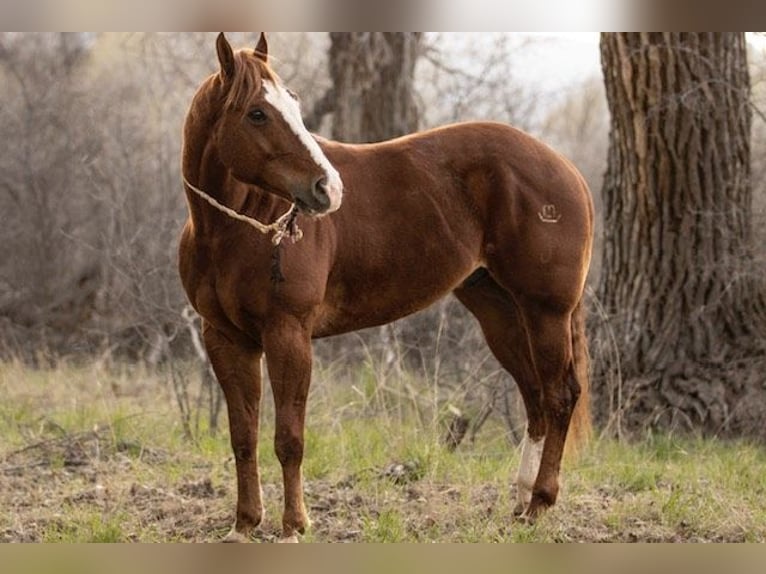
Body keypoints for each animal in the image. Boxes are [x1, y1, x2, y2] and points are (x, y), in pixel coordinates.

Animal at [178, 32, 592, 544]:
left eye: (292, 102)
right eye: (257, 112)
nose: (329, 188)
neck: (236, 230)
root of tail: (566, 169)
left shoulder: (288, 335)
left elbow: (289, 438)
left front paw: (294, 527)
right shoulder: (226, 339)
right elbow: (243, 436)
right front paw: (244, 525)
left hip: (545, 311)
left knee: (559, 396)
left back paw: (540, 502)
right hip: (499, 310)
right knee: (535, 397)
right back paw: (520, 499)